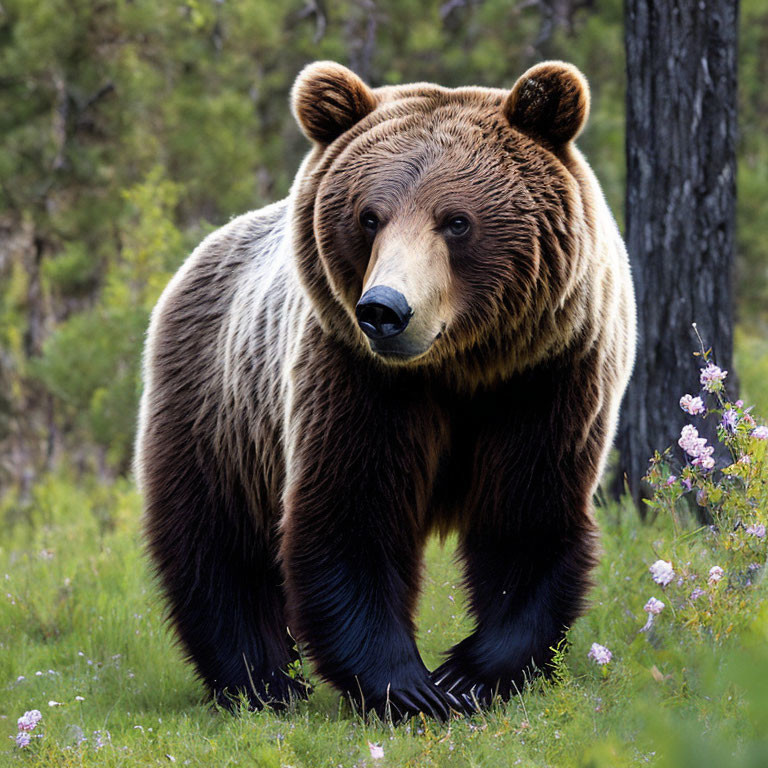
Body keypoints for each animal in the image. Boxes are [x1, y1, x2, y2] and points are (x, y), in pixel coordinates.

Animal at [136, 61, 636, 720]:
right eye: (370, 217)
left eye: (456, 220)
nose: (384, 310)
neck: (462, 365)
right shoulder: (356, 376)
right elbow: (351, 515)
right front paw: (412, 688)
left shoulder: (548, 374)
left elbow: (527, 512)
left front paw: (470, 676)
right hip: (219, 405)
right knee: (216, 543)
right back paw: (261, 681)